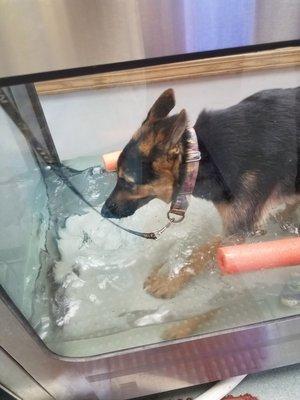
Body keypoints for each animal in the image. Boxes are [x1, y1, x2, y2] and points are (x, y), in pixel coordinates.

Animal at [102, 87, 298, 300]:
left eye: (128, 182)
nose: (103, 212)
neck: (200, 158)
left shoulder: (235, 231)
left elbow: (200, 251)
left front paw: (169, 280)